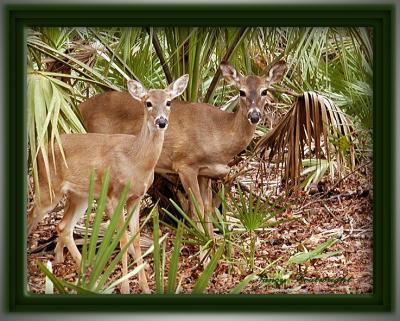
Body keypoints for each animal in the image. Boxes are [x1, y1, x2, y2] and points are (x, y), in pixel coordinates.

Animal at [28, 73, 191, 292]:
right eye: (148, 102)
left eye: (169, 102)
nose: (162, 121)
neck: (136, 160)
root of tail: (39, 150)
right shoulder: (114, 195)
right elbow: (122, 239)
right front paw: (126, 288)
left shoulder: (136, 198)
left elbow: (135, 239)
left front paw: (145, 288)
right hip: (47, 186)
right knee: (31, 216)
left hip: (80, 196)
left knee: (64, 226)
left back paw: (89, 276)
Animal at [79, 60, 284, 248]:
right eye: (241, 91)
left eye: (265, 91)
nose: (254, 115)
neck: (220, 133)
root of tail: (81, 105)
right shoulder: (185, 165)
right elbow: (197, 207)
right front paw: (204, 246)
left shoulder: (205, 172)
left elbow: (207, 207)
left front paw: (212, 241)